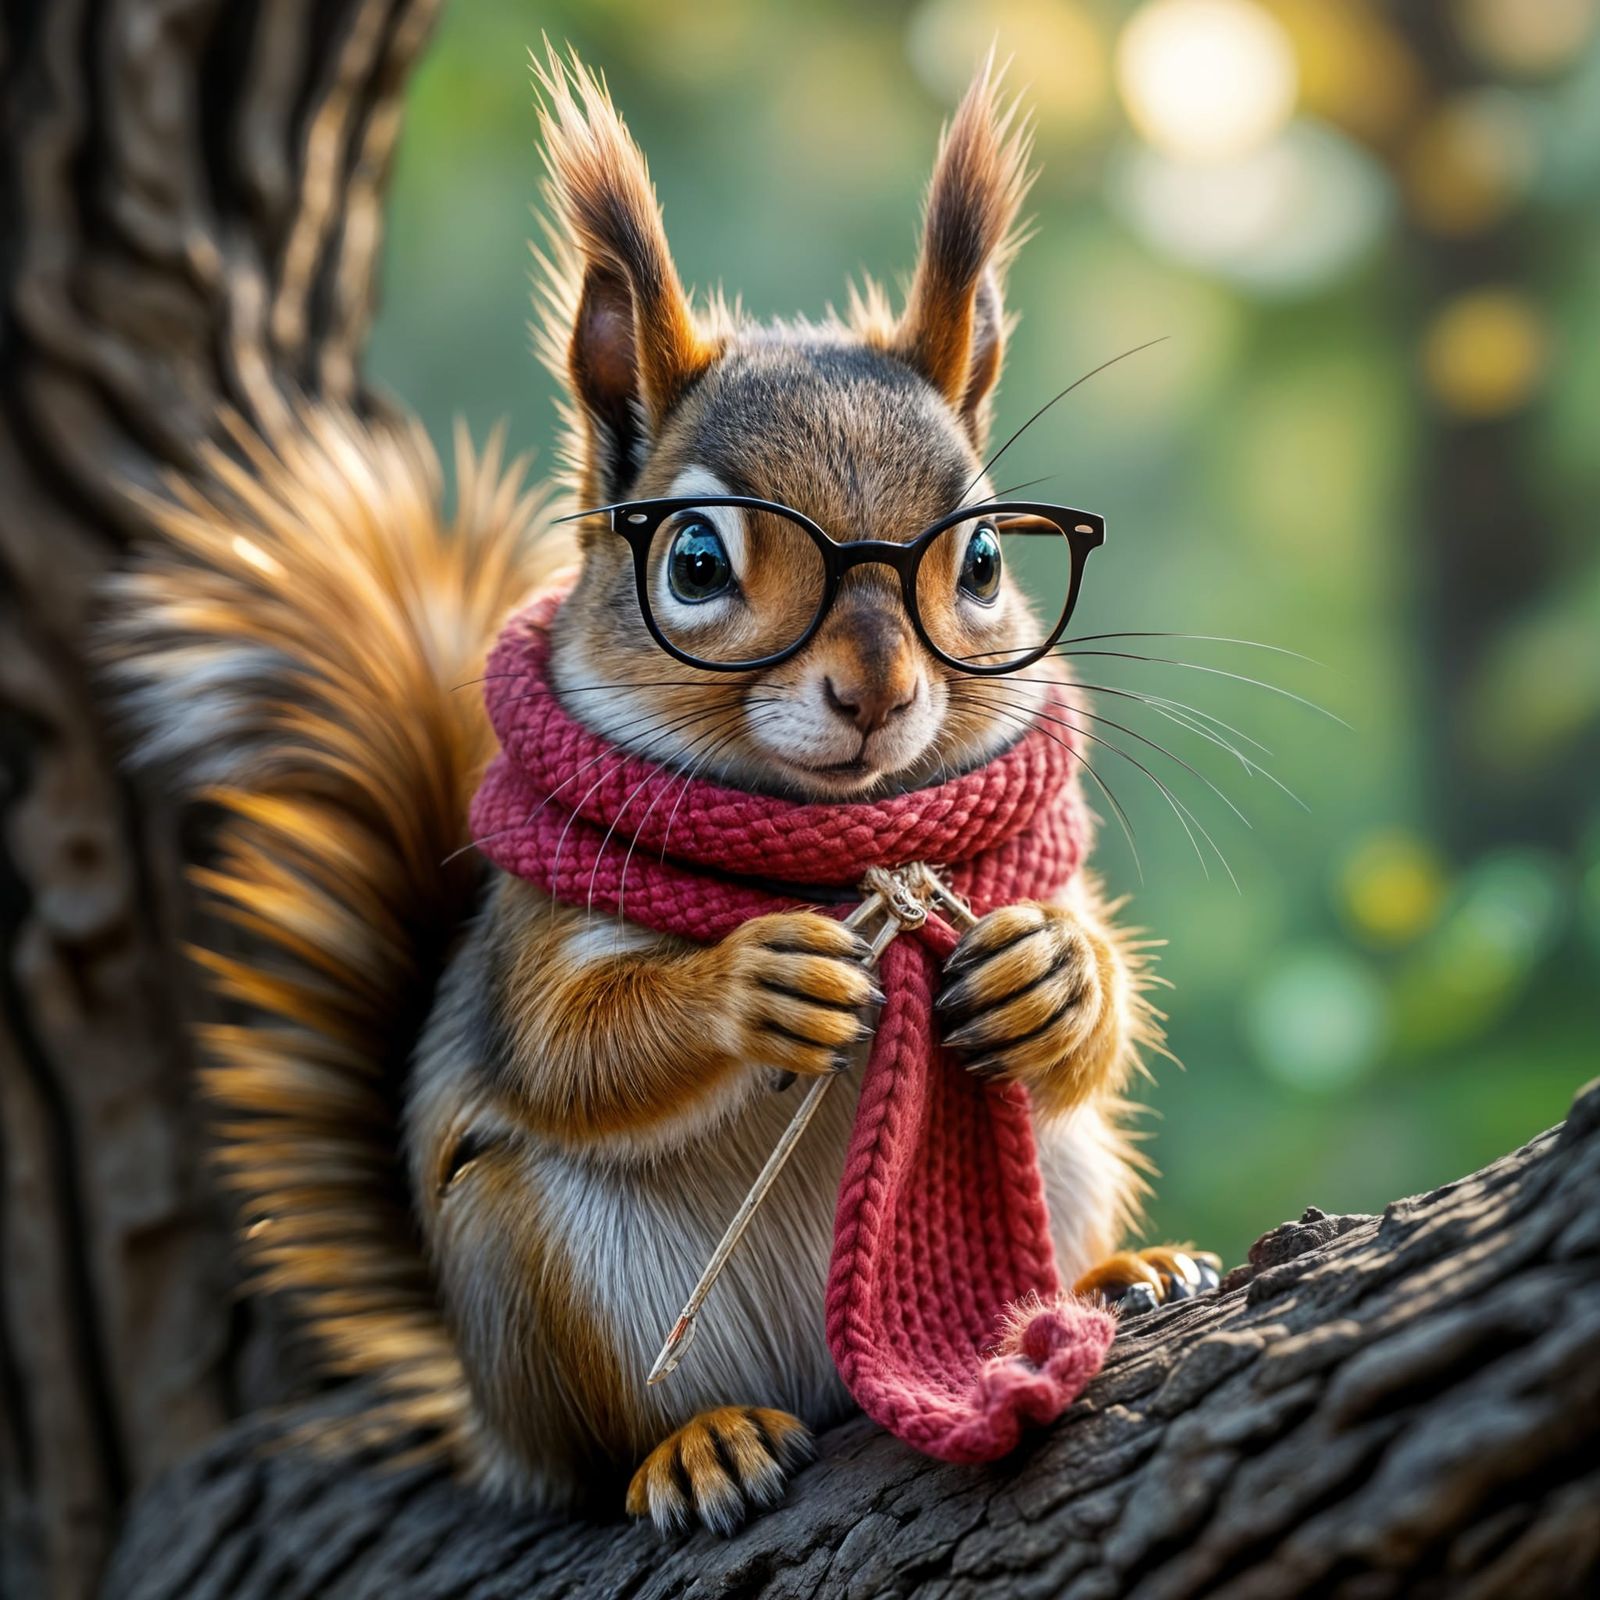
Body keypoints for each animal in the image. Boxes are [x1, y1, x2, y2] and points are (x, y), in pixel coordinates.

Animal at [107, 50, 1214, 1537]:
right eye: (693, 561)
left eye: (983, 559)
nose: (875, 694)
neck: (830, 842)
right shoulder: (537, 933)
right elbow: (570, 1047)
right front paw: (755, 982)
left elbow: (1099, 992)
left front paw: (1051, 972)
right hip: (542, 1264)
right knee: (606, 1437)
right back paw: (697, 1445)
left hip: (1070, 1157)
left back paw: (1122, 1276)